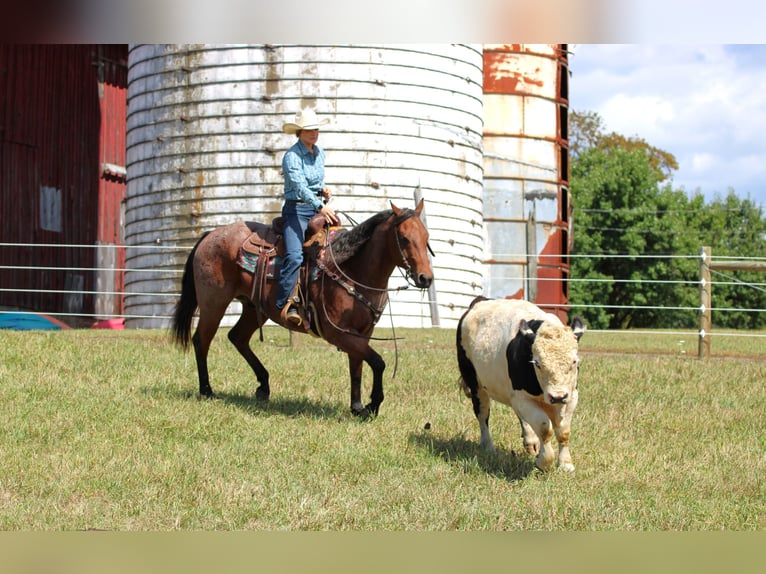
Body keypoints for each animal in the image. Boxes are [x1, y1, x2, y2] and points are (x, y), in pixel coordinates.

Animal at [171, 199, 434, 419]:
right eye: (404, 238)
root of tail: (209, 235)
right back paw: (207, 390)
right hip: (213, 302)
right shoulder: (338, 333)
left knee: (237, 337)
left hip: (254, 309)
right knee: (202, 340)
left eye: (426, 236)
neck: (351, 267)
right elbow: (378, 362)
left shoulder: (362, 333)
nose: (425, 278)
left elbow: (357, 366)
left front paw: (357, 407)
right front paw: (373, 405)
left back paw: (263, 385)